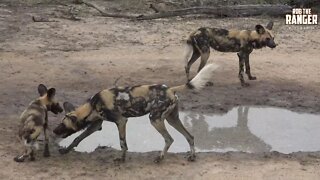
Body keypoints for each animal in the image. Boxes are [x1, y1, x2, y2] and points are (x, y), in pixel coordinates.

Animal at [53, 64, 218, 163]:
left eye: (62, 124)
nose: (54, 131)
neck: (92, 105)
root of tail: (170, 89)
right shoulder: (96, 125)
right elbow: (77, 139)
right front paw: (65, 150)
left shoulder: (121, 121)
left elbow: (122, 144)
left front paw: (122, 159)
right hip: (172, 119)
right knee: (190, 136)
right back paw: (192, 156)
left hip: (155, 119)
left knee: (169, 139)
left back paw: (160, 157)